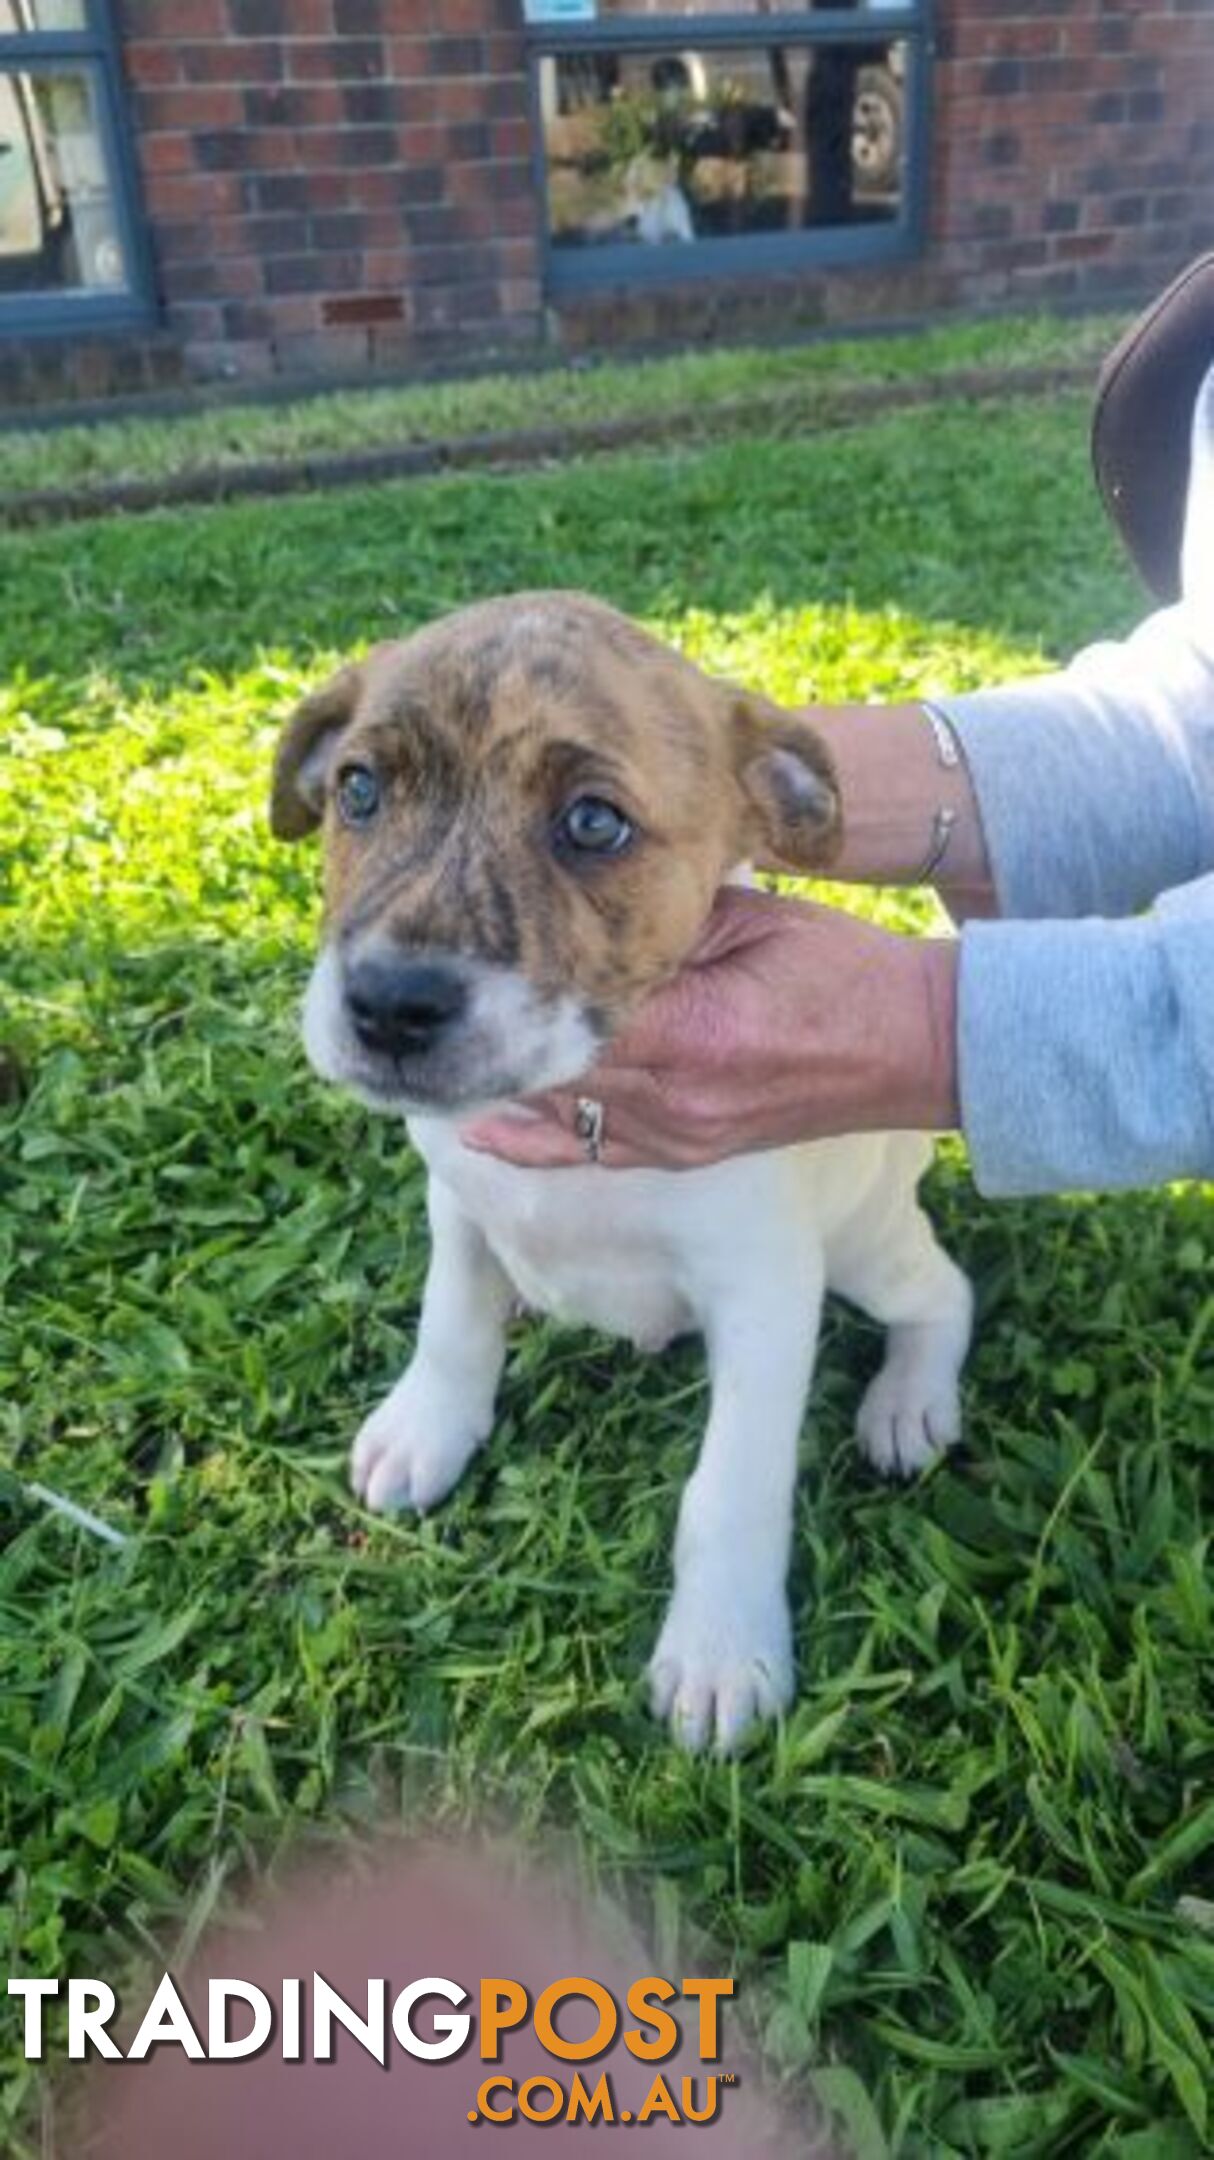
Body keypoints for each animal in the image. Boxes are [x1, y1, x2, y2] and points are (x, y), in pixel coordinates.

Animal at [268, 591, 967, 1753]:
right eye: (359, 790)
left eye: (593, 824)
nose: (390, 1008)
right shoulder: (456, 1207)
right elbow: (450, 1325)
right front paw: (426, 1427)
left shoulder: (766, 1297)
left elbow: (730, 1486)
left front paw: (721, 1649)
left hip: (867, 1247)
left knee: (946, 1293)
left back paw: (909, 1401)